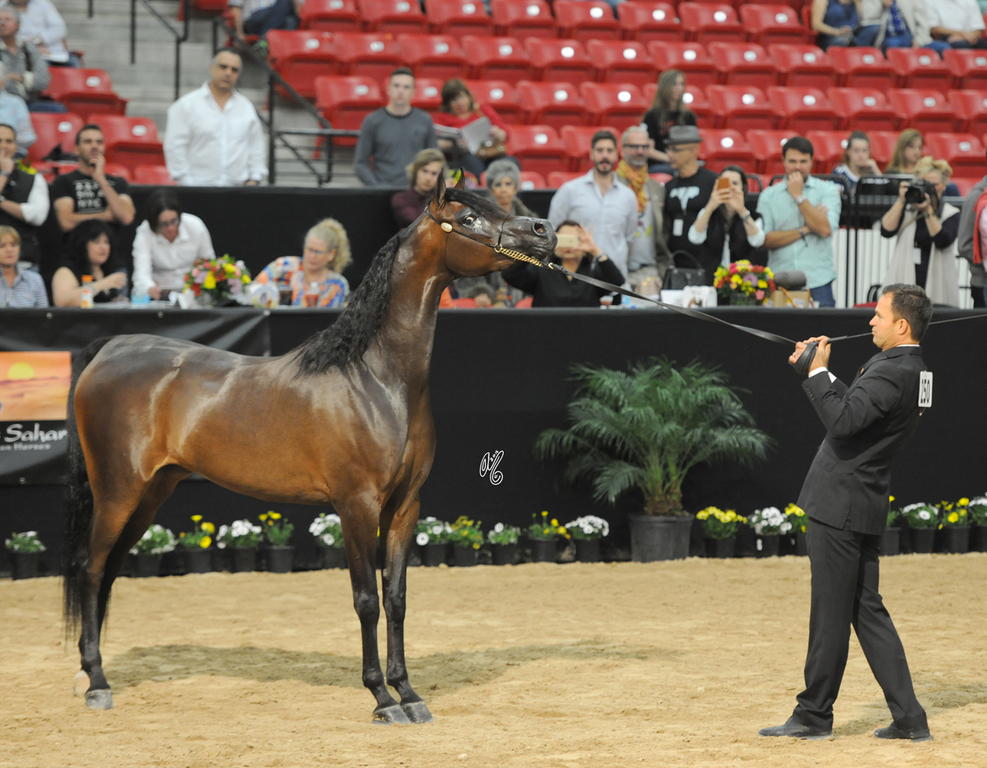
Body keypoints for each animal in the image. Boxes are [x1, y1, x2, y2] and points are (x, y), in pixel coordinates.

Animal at [62, 176, 556, 723]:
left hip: (151, 493)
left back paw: (91, 672)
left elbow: (396, 598)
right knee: (89, 568)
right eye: (468, 219)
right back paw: (96, 683)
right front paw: (382, 698)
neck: (377, 378)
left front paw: (408, 693)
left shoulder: (405, 506)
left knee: (107, 571)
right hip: (117, 491)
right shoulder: (356, 505)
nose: (543, 230)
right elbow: (365, 599)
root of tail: (109, 348)